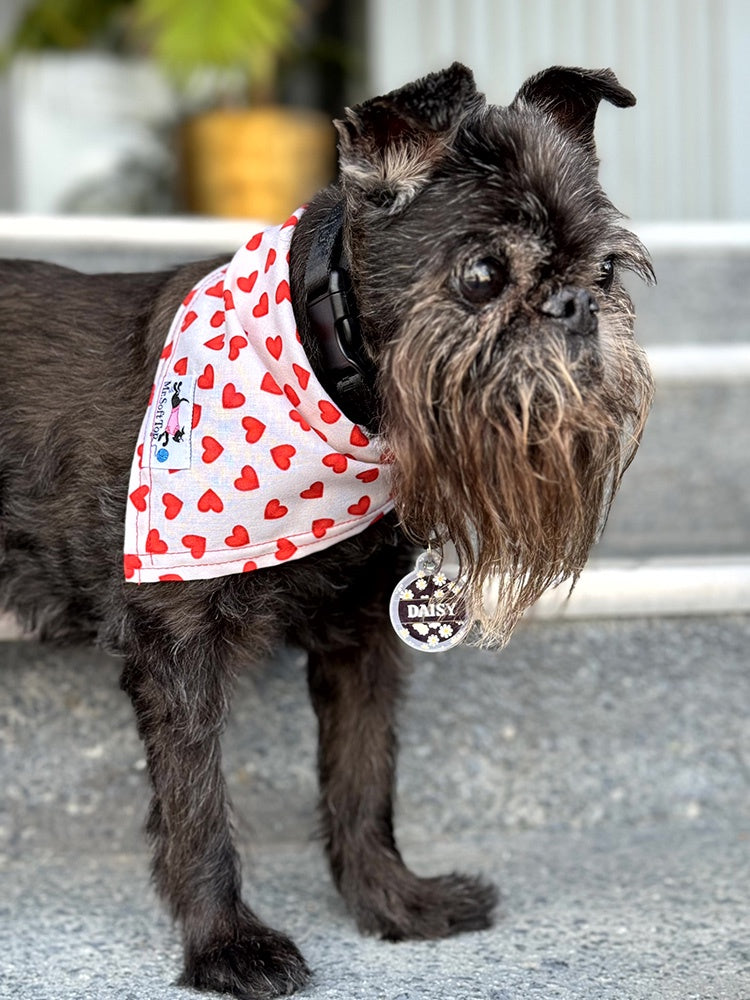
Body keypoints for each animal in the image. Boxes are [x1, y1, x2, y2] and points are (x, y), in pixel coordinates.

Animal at [0, 64, 656, 1000]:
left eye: (605, 269)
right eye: (483, 273)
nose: (575, 304)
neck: (327, 374)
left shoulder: (359, 642)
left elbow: (362, 779)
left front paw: (391, 901)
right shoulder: (177, 647)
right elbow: (197, 806)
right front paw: (227, 946)